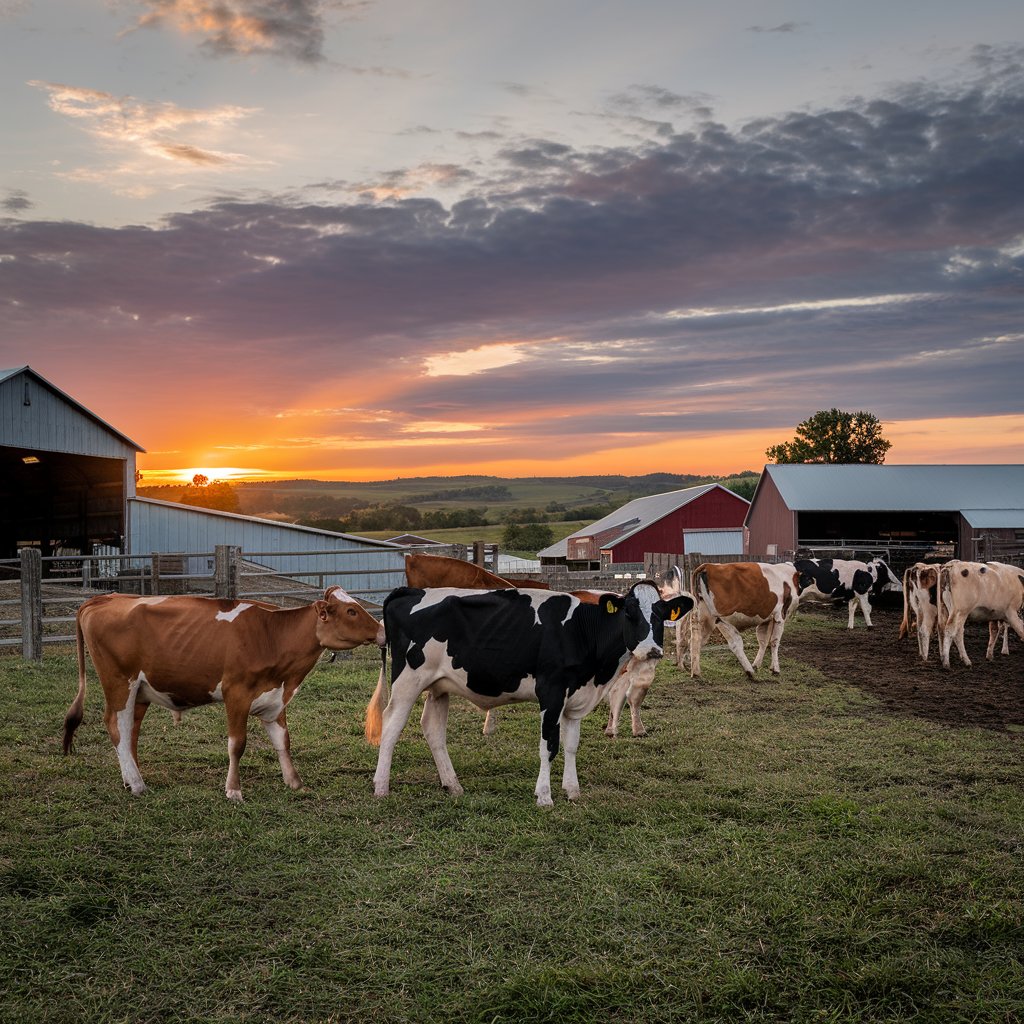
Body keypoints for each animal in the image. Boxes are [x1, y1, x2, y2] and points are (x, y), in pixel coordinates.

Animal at [64, 585, 385, 798]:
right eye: (351, 610)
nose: (383, 630)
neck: (271, 634)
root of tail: (102, 599)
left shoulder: (275, 699)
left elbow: (283, 741)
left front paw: (294, 782)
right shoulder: (237, 694)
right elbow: (237, 745)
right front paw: (233, 790)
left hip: (141, 690)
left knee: (130, 731)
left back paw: (131, 778)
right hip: (119, 682)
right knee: (115, 725)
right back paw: (138, 784)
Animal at [364, 585, 692, 806]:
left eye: (660, 616)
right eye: (629, 613)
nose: (652, 650)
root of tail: (410, 590)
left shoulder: (576, 698)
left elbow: (571, 745)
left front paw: (572, 791)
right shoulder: (551, 692)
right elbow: (549, 746)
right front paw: (544, 796)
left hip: (439, 686)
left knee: (432, 729)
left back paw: (453, 785)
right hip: (408, 680)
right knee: (391, 726)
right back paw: (381, 787)